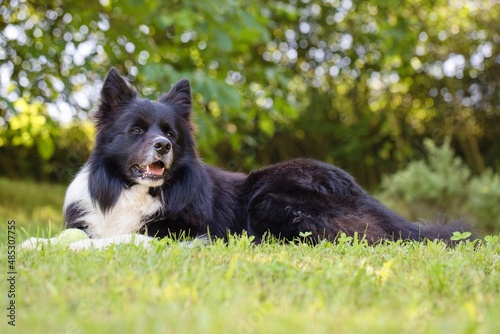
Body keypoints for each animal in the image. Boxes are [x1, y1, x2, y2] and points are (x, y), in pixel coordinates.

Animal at [58, 67, 468, 248]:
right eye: (137, 130)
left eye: (170, 133)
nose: (163, 146)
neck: (131, 190)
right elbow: (71, 236)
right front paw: (44, 245)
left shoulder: (176, 233)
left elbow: (111, 241)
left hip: (270, 198)